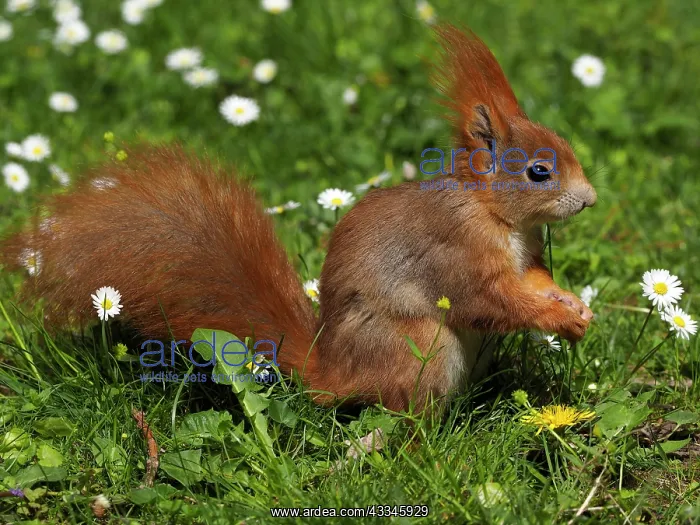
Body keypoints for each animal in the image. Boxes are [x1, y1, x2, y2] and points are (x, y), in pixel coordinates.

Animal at [2, 25, 596, 413]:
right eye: (540, 172)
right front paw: (561, 317)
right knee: (404, 414)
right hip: (420, 346)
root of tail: (332, 375)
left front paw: (571, 304)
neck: (494, 214)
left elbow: (532, 281)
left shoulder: (526, 253)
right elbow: (488, 299)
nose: (589, 199)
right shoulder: (455, 250)